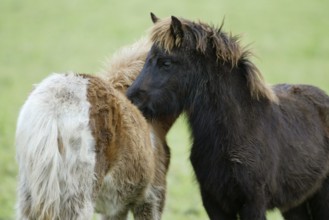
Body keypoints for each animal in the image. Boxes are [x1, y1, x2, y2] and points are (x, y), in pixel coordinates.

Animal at [127, 13, 328, 218]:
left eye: (165, 63)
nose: (130, 99)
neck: (239, 130)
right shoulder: (213, 201)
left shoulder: (253, 203)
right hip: (295, 203)